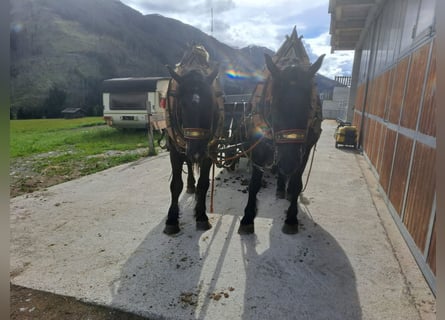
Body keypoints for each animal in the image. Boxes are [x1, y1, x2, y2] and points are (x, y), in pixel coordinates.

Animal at [164, 45, 224, 235]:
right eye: (181, 104)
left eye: (211, 103)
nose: (196, 151)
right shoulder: (175, 149)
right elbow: (176, 185)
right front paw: (172, 220)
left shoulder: (210, 150)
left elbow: (204, 184)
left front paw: (201, 215)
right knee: (189, 165)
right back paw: (190, 184)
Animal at [239, 52, 322, 232]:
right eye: (274, 105)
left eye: (309, 107)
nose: (289, 163)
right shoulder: (258, 145)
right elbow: (254, 184)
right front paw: (248, 217)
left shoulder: (305, 149)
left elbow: (297, 183)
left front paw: (291, 218)